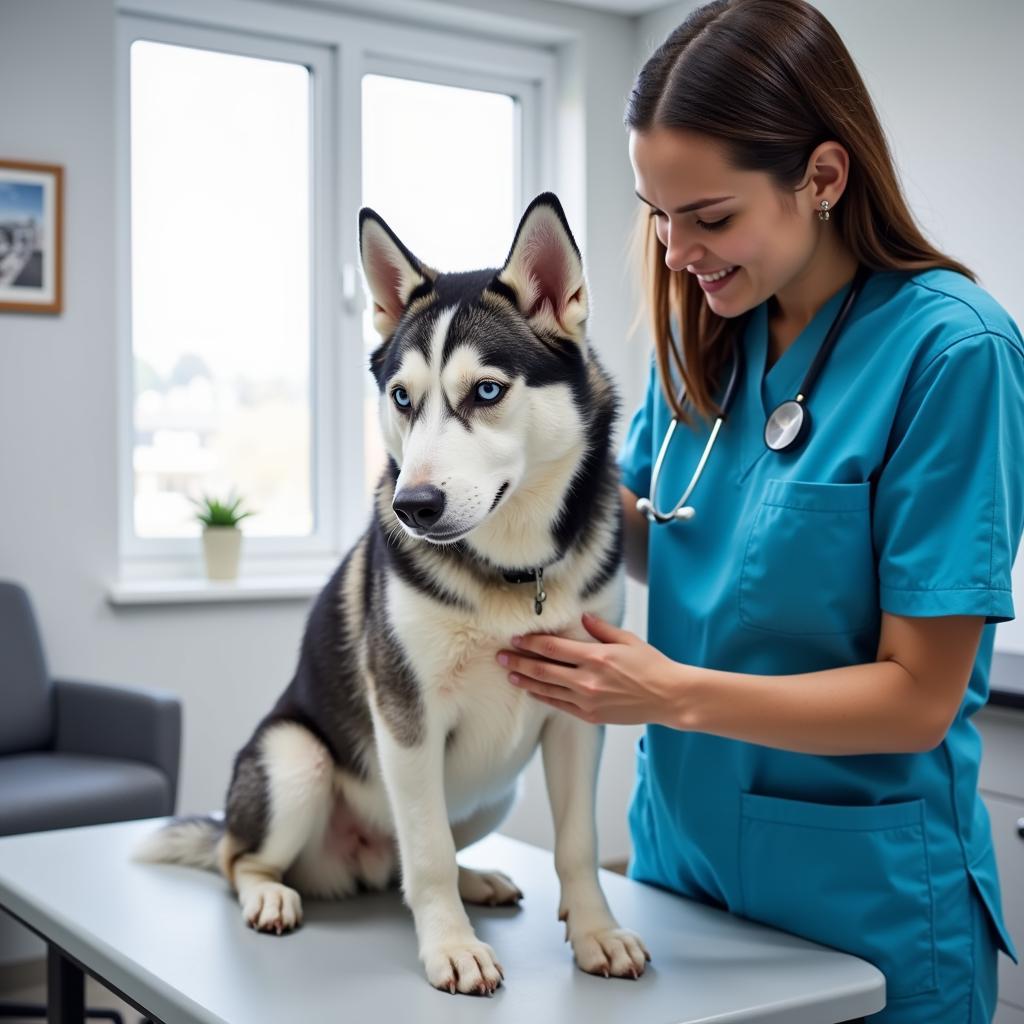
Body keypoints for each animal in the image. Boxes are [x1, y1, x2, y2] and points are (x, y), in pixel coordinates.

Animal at [138, 190, 647, 991]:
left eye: (487, 391)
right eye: (403, 398)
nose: (414, 506)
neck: (512, 571)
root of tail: (359, 862)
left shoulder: (576, 711)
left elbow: (577, 845)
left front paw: (597, 932)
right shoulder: (407, 718)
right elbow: (428, 853)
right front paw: (452, 947)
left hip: (494, 792)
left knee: (414, 858)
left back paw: (477, 880)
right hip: (295, 762)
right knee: (244, 857)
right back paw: (271, 895)